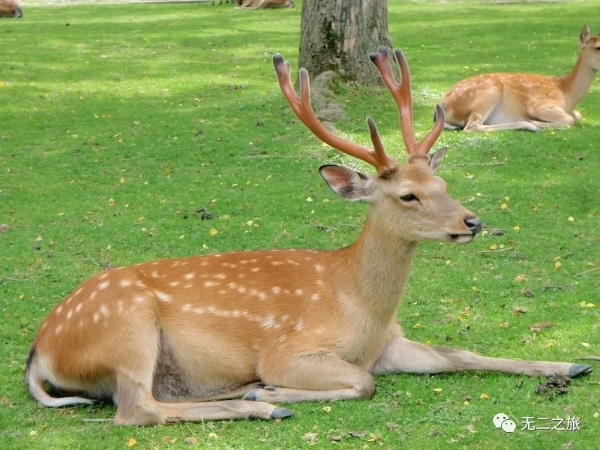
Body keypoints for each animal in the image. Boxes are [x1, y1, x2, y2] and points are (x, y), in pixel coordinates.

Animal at [24, 48, 592, 426]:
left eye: (443, 185)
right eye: (408, 196)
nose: (470, 222)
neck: (358, 306)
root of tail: (39, 351)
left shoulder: (391, 343)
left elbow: (462, 355)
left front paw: (573, 362)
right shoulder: (290, 348)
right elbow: (363, 383)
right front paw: (272, 390)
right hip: (128, 326)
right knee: (135, 409)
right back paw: (264, 404)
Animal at [440, 24, 600, 131]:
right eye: (597, 47)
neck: (567, 95)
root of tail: (444, 105)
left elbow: (577, 116)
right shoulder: (538, 105)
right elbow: (570, 119)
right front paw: (537, 123)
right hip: (489, 93)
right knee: (472, 126)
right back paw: (529, 125)